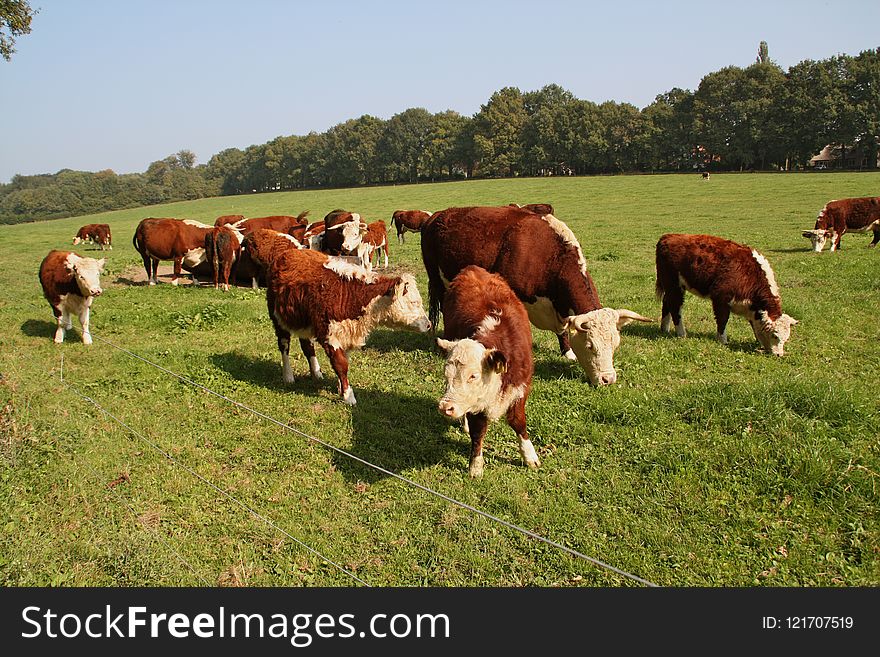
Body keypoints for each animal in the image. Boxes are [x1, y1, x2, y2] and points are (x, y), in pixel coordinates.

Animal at [268, 247, 434, 404]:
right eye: (414, 302)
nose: (429, 325)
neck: (351, 294)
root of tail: (288, 253)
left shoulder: (346, 334)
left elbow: (343, 361)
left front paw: (341, 389)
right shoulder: (329, 335)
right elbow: (341, 364)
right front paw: (349, 396)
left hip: (304, 323)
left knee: (308, 346)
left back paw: (317, 373)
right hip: (278, 320)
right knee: (284, 346)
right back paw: (288, 376)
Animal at [422, 205, 648, 384]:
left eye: (615, 344)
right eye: (590, 345)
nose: (608, 379)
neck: (548, 256)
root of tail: (437, 215)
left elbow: (563, 331)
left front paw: (567, 352)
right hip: (436, 279)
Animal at [436, 266, 540, 476]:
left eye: (473, 376)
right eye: (446, 375)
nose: (445, 407)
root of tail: (472, 269)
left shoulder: (521, 389)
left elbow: (518, 422)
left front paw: (530, 455)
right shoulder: (477, 406)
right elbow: (478, 432)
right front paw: (475, 466)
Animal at [656, 231, 800, 354]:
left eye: (786, 338)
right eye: (775, 335)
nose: (779, 354)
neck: (750, 273)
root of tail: (667, 236)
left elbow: (755, 326)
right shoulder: (721, 298)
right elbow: (723, 320)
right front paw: (722, 341)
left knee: (667, 303)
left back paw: (665, 329)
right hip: (674, 285)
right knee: (675, 307)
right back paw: (681, 334)